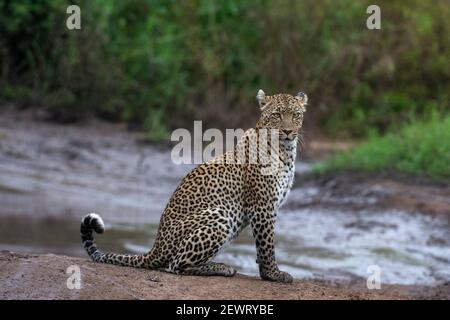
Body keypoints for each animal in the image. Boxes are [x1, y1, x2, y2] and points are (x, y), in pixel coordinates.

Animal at [80, 89, 310, 282]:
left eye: (296, 115)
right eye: (277, 115)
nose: (288, 131)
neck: (286, 151)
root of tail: (156, 247)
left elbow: (265, 244)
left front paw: (268, 273)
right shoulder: (263, 205)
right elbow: (267, 244)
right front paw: (273, 274)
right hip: (220, 216)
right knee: (175, 266)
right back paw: (221, 267)